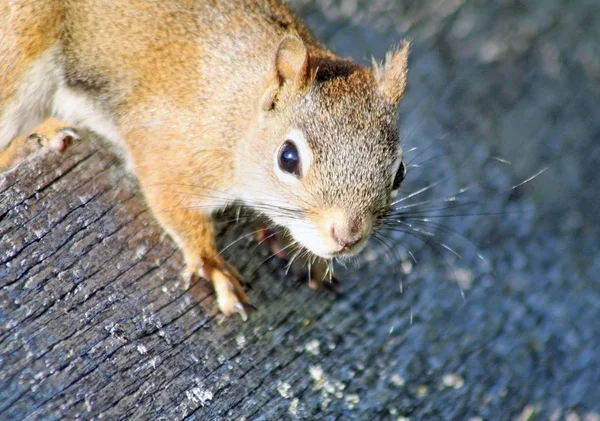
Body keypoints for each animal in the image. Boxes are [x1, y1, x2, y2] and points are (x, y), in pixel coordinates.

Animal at [0, 0, 410, 316]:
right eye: (288, 157)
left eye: (400, 173)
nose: (348, 236)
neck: (239, 116)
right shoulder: (168, 149)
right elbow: (177, 209)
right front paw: (213, 265)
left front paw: (290, 247)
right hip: (20, 47)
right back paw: (33, 140)